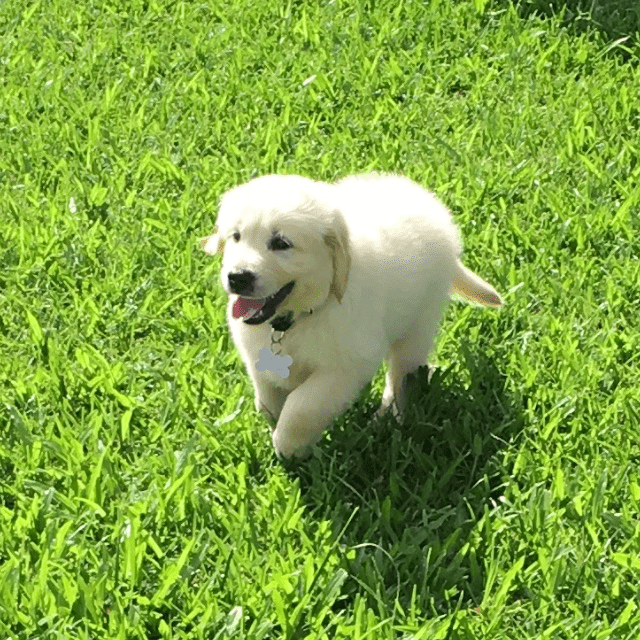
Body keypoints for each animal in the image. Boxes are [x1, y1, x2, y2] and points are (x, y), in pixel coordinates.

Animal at [202, 172, 502, 458]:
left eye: (281, 243)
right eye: (236, 237)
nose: (237, 277)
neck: (296, 319)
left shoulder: (347, 365)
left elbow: (302, 406)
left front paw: (288, 445)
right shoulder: (256, 355)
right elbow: (267, 397)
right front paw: (274, 421)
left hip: (418, 323)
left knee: (401, 375)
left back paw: (389, 416)